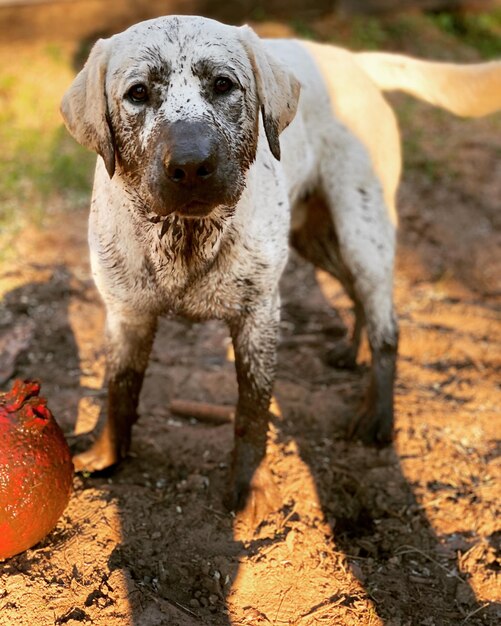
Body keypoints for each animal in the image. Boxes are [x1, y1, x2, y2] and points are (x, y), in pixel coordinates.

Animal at [61, 14, 500, 516]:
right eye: (137, 93)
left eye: (223, 84)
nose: (191, 165)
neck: (185, 237)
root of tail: (351, 60)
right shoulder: (125, 314)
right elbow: (119, 388)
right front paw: (106, 453)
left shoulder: (259, 316)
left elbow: (253, 409)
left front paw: (250, 483)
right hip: (317, 239)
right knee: (356, 297)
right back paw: (350, 352)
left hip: (363, 233)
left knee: (387, 324)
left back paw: (377, 415)